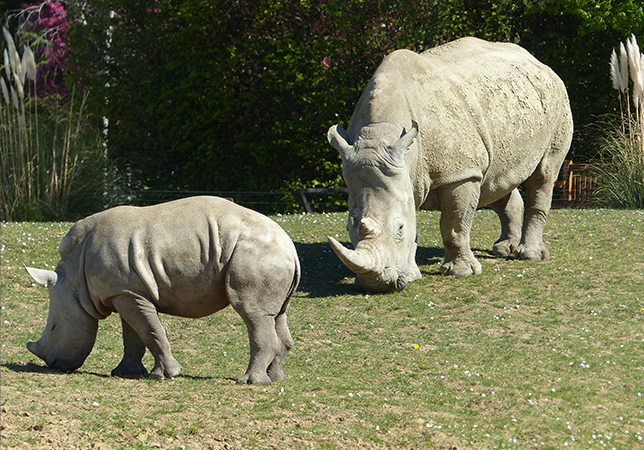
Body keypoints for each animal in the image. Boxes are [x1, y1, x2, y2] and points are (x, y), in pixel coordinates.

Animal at [25, 196, 300, 384]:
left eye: (54, 327)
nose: (53, 365)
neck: (75, 280)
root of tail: (291, 247)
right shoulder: (125, 291)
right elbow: (133, 335)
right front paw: (125, 373)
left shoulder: (126, 292)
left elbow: (150, 331)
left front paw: (165, 375)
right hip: (270, 255)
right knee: (276, 315)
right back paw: (276, 379)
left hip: (257, 253)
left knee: (252, 313)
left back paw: (249, 382)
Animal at [327, 37, 573, 293]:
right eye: (348, 228)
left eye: (399, 228)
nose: (377, 285)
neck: (380, 134)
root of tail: (539, 63)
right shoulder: (406, 173)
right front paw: (413, 275)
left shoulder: (460, 174)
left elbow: (454, 225)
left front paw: (461, 272)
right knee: (495, 180)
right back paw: (504, 249)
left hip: (559, 101)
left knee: (544, 174)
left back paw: (529, 256)